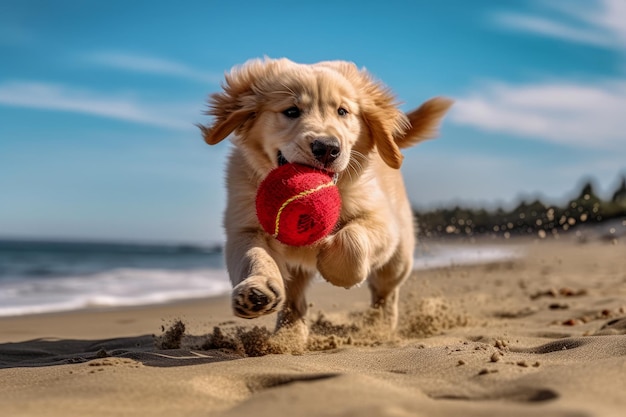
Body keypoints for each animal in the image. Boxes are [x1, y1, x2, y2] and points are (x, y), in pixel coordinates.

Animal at [200, 56, 448, 342]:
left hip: (399, 257)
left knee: (385, 292)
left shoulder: (382, 221)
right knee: (294, 298)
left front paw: (332, 263)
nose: (328, 148)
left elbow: (353, 240)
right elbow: (253, 255)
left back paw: (380, 327)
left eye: (342, 111)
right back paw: (288, 336)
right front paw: (256, 290)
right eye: (291, 111)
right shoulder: (244, 226)